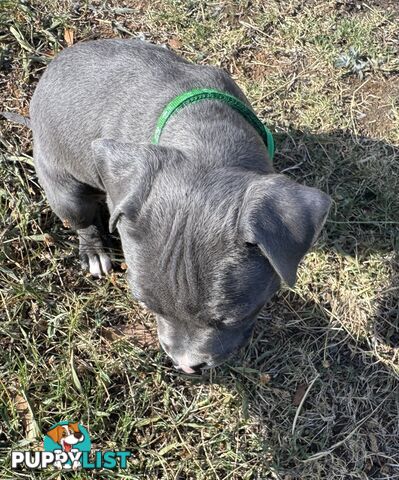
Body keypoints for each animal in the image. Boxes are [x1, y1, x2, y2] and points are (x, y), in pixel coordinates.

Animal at [7, 38, 332, 376]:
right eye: (147, 306)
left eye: (233, 318)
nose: (186, 366)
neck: (204, 137)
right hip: (65, 190)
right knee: (83, 220)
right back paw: (94, 251)